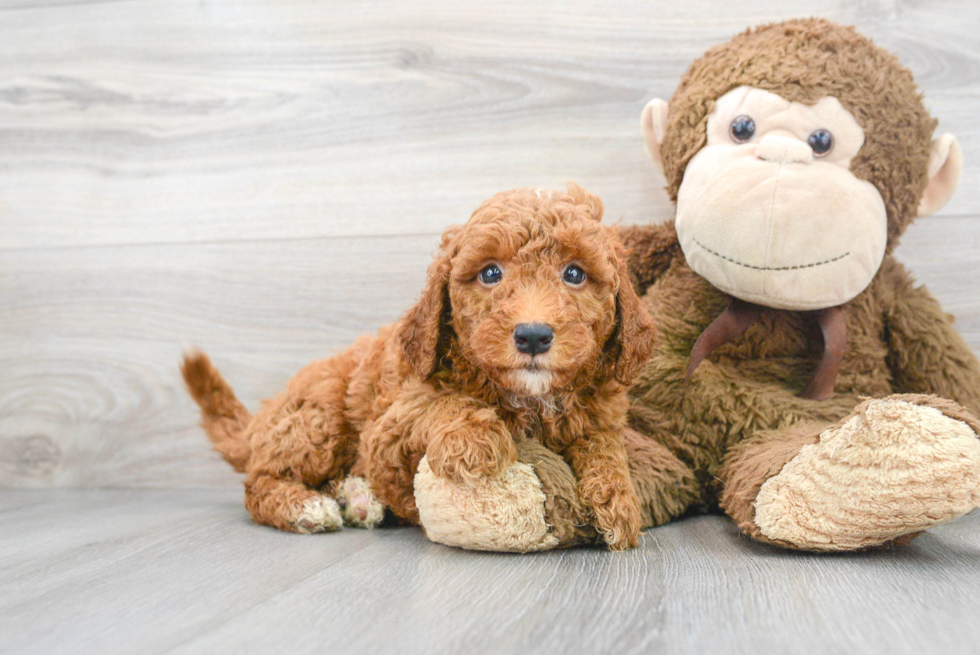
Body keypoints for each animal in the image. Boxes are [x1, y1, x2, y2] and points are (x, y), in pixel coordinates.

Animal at [184, 183, 660, 548]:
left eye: (575, 274)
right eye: (490, 273)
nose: (533, 336)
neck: (529, 399)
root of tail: (258, 425)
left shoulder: (599, 414)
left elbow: (603, 443)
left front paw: (618, 499)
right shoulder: (389, 430)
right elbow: (439, 404)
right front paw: (472, 438)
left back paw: (358, 498)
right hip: (316, 420)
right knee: (258, 482)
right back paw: (306, 506)